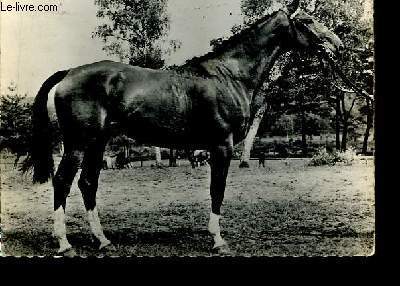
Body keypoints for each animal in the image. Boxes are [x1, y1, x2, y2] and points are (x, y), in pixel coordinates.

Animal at [24, 0, 344, 255]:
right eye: (307, 20)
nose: (337, 45)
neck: (230, 75)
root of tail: (69, 72)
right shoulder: (222, 146)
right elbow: (217, 190)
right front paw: (218, 240)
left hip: (98, 143)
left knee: (88, 183)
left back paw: (102, 240)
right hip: (78, 143)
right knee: (62, 182)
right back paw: (65, 243)